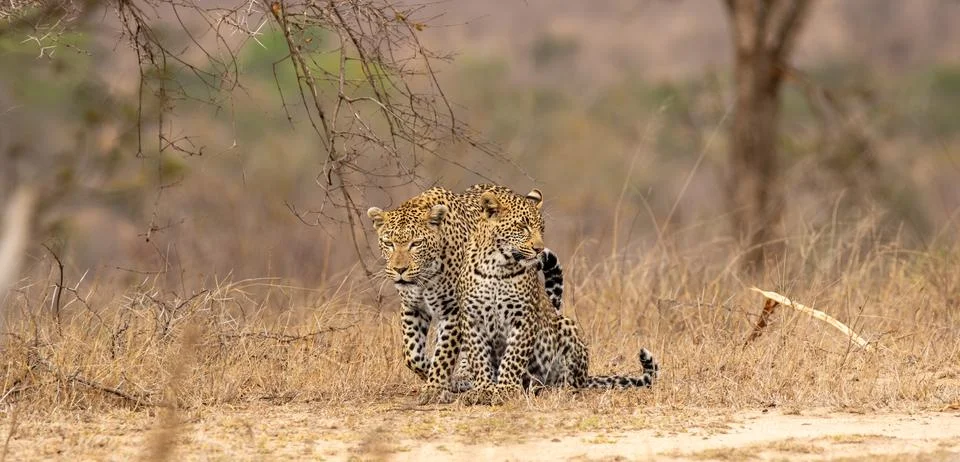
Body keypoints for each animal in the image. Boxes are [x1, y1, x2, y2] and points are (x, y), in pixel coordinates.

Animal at [366, 184, 565, 404]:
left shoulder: (453, 310)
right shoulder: (412, 307)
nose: (399, 269)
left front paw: (435, 386)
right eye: (389, 244)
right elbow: (412, 354)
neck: (425, 276)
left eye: (416, 244)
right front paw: (436, 376)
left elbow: (444, 352)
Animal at [457, 188, 659, 405]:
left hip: (566, 328)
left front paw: (505, 389)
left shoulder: (524, 318)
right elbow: (479, 358)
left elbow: (513, 358)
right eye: (523, 226)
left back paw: (556, 390)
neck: (496, 266)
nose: (538, 249)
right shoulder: (472, 318)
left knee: (572, 381)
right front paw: (483, 389)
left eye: (541, 228)